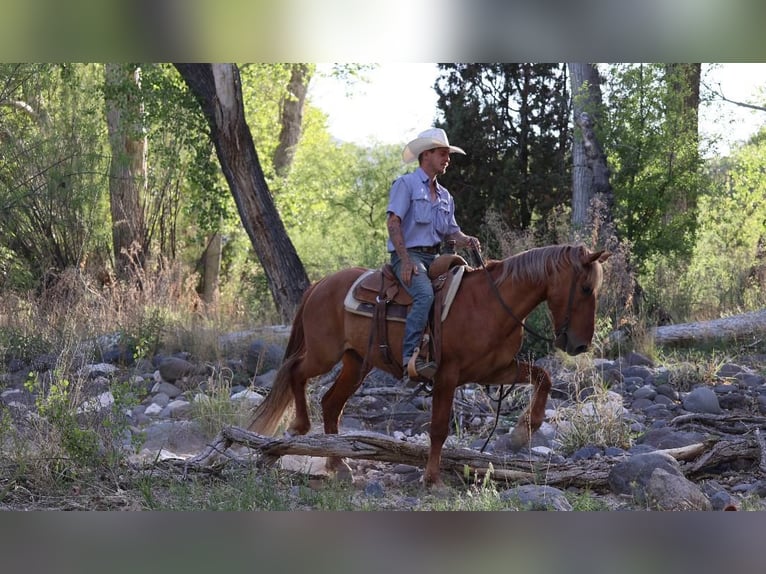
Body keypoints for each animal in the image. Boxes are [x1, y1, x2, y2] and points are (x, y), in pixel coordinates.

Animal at [248, 243, 611, 488]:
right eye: (584, 288)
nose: (579, 345)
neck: (491, 304)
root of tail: (320, 285)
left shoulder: (496, 371)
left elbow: (543, 376)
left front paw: (526, 429)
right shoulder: (447, 375)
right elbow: (438, 429)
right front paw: (433, 479)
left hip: (356, 362)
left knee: (331, 403)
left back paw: (339, 464)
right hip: (324, 354)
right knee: (295, 372)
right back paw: (299, 427)